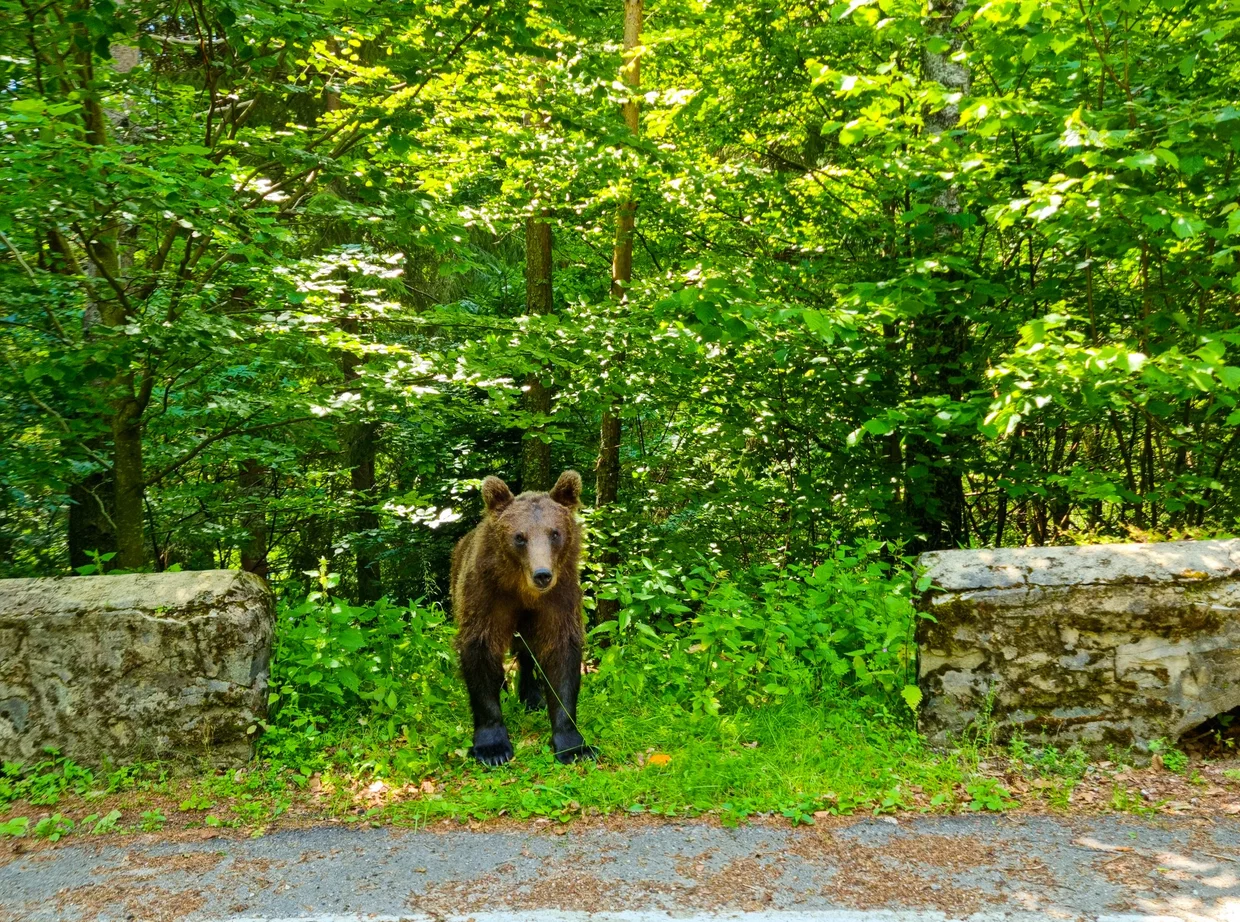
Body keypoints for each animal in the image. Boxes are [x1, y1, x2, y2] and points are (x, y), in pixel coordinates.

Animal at [450, 470, 596, 766]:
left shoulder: (559, 600)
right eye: (519, 536)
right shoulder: (487, 597)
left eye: (555, 533)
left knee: (527, 652)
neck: (523, 591)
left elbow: (561, 655)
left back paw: (531, 696)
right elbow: (480, 650)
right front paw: (492, 747)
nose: (542, 574)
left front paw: (573, 745)